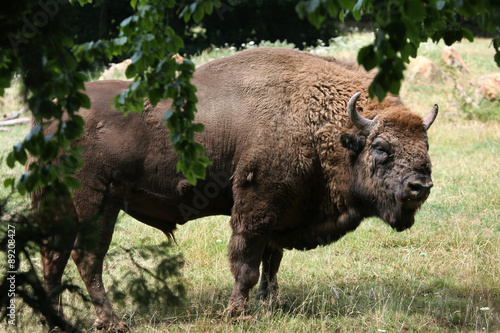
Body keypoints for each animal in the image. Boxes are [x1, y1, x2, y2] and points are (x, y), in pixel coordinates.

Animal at [32, 46, 438, 330]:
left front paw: (271, 303)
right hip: (98, 203)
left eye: (425, 144)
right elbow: (246, 261)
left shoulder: (281, 211)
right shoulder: (256, 203)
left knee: (53, 256)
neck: (318, 122)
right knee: (87, 257)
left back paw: (53, 319)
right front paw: (239, 313)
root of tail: (51, 118)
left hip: (63, 206)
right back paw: (111, 322)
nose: (421, 186)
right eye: (381, 147)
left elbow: (272, 260)